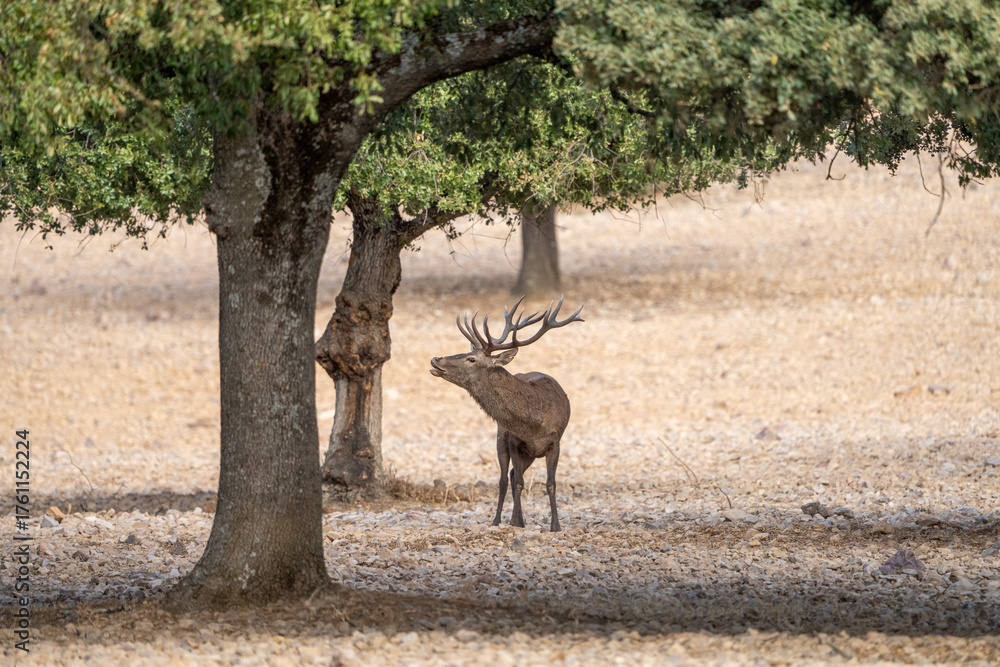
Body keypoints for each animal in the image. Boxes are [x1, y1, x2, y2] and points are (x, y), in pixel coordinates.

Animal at [429, 296, 583, 532]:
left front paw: (555, 526)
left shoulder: (555, 442)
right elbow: (518, 482)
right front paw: (515, 522)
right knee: (504, 478)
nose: (436, 359)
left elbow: (551, 484)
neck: (533, 424)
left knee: (511, 475)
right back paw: (500, 520)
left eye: (471, 359)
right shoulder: (514, 441)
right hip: (502, 438)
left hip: (530, 453)